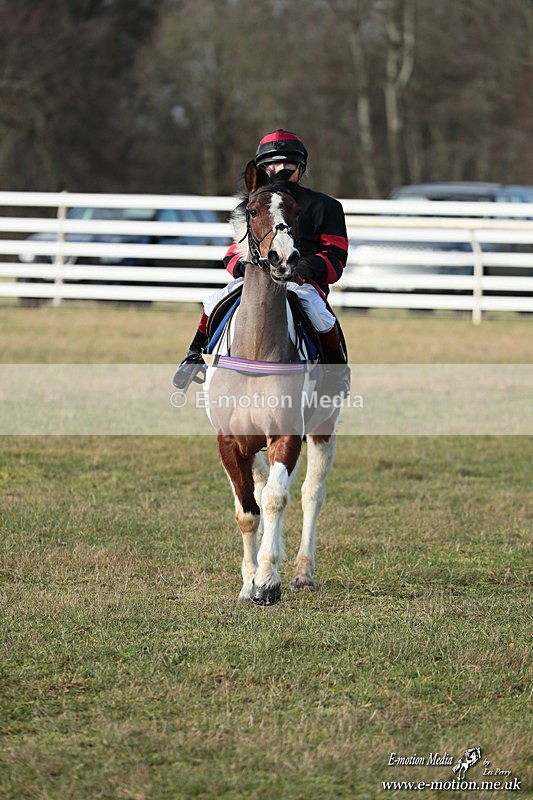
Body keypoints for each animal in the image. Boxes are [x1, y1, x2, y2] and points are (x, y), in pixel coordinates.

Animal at [206, 160, 339, 605]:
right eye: (252, 211)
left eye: (296, 213)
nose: (284, 258)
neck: (257, 350)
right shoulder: (230, 441)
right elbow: (248, 510)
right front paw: (249, 581)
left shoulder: (287, 434)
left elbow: (279, 498)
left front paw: (267, 580)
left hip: (323, 429)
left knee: (310, 494)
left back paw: (301, 572)